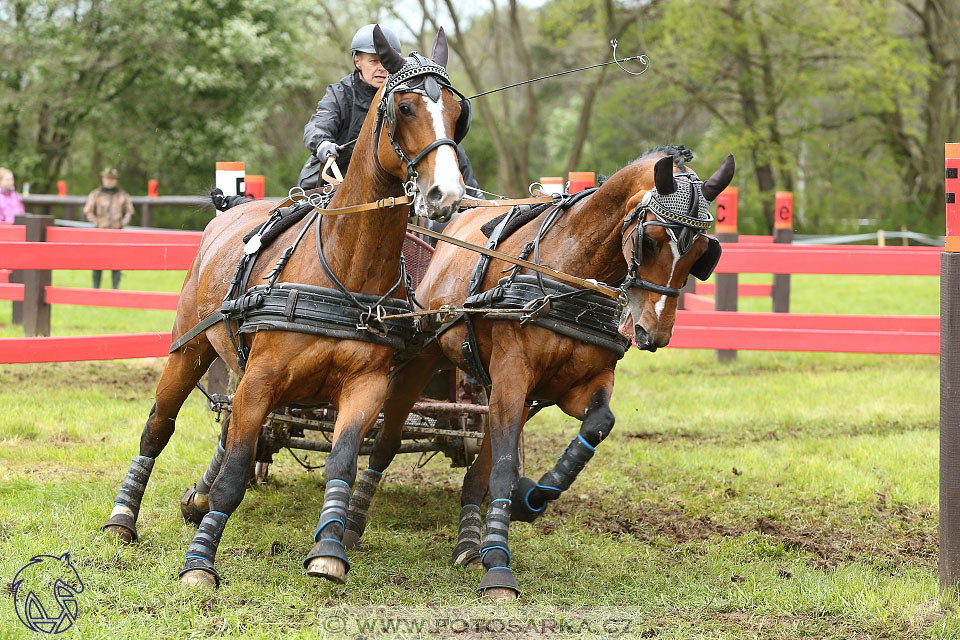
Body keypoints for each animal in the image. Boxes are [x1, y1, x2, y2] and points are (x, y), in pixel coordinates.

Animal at [101, 27, 468, 588]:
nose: (445, 193)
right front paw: (199, 564)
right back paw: (123, 518)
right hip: (190, 351)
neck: (344, 266)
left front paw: (329, 552)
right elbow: (235, 472)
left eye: (456, 111)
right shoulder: (261, 380)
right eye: (405, 107)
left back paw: (194, 500)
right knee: (159, 427)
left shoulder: (365, 388)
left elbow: (342, 463)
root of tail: (232, 208)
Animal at [344, 146, 736, 600]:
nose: (652, 332)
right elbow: (502, 467)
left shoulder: (577, 384)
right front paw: (498, 566)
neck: (568, 271)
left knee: (478, 470)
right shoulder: (513, 373)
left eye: (701, 254)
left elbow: (598, 423)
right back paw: (352, 524)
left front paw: (533, 496)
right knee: (386, 444)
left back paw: (468, 542)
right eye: (650, 240)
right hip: (425, 358)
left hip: (499, 389)